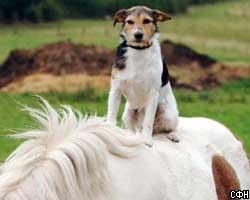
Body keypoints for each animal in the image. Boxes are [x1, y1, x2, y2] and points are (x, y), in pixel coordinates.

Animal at [106, 5, 179, 147]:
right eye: (130, 22)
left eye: (147, 21)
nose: (138, 35)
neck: (138, 50)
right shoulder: (116, 89)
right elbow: (111, 115)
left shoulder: (153, 93)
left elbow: (148, 122)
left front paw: (147, 140)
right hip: (128, 113)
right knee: (133, 129)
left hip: (168, 113)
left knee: (171, 128)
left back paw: (173, 135)